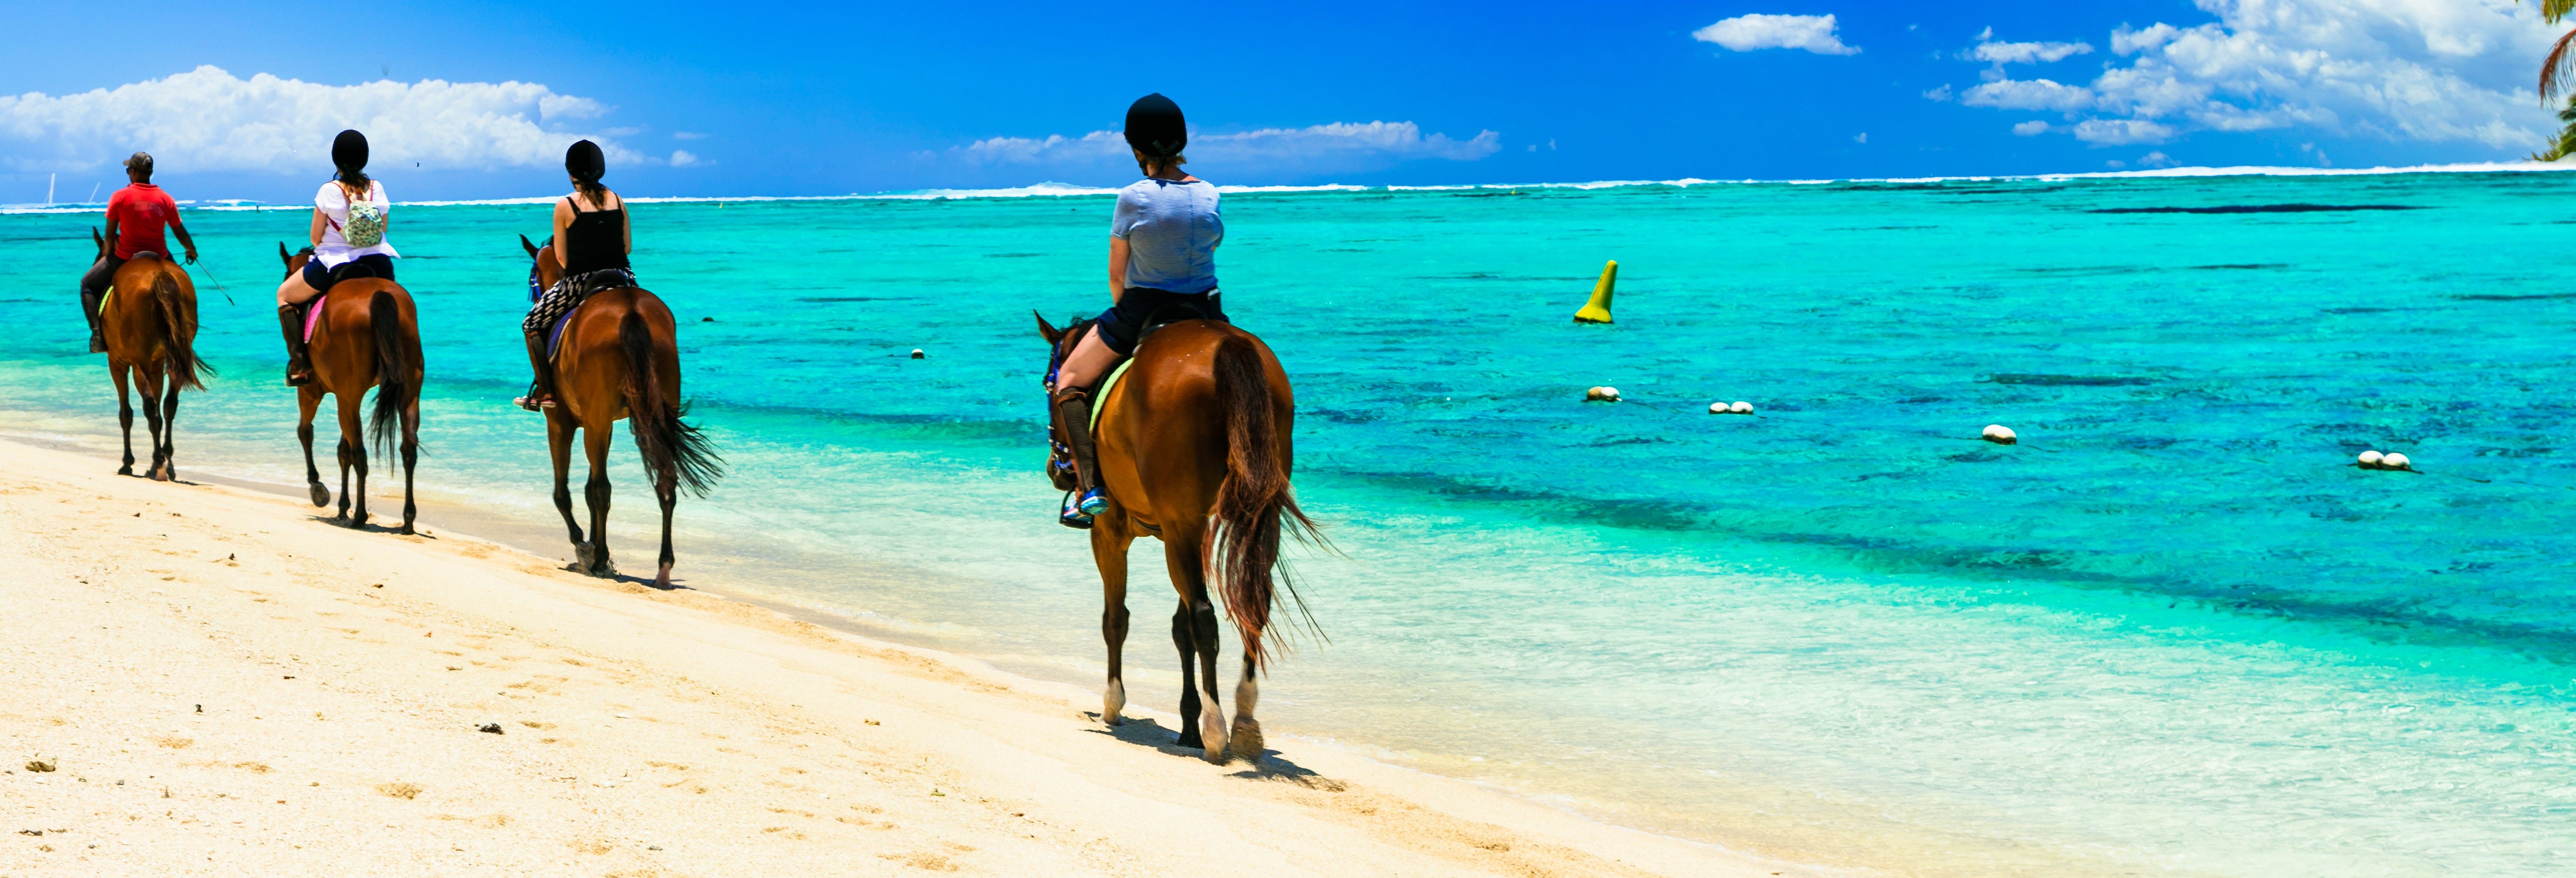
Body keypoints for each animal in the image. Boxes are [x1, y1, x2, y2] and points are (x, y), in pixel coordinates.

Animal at [89, 225, 211, 479]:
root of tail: (159, 273)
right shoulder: (157, 365)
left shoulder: (117, 362)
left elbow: (126, 413)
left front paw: (127, 463)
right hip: (174, 360)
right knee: (169, 405)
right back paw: (167, 464)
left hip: (139, 362)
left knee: (150, 407)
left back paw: (157, 463)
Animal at [276, 243, 422, 530]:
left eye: (287, 273)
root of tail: (380, 295)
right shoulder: (345, 397)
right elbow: (342, 450)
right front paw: (343, 506)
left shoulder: (313, 392)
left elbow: (305, 432)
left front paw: (318, 488)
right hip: (408, 393)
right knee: (408, 450)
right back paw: (407, 519)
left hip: (346, 397)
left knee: (360, 454)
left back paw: (361, 516)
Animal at [520, 235, 726, 584]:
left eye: (532, 276)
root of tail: (631, 310)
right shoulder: (601, 425)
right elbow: (588, 490)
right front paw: (591, 544)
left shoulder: (563, 424)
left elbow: (566, 493)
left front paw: (584, 545)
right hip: (651, 413)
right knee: (665, 482)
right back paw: (663, 567)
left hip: (593, 421)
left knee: (602, 488)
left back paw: (601, 559)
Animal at [1030, 313, 1319, 757]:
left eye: (1049, 384)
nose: (1056, 468)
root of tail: (1226, 344)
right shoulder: (1182, 533)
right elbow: (1179, 630)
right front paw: (1187, 725)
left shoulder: (1112, 535)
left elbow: (1116, 619)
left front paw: (1114, 704)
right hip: (1251, 520)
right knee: (1252, 605)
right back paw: (1244, 719)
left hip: (1179, 527)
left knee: (1205, 617)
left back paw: (1217, 729)